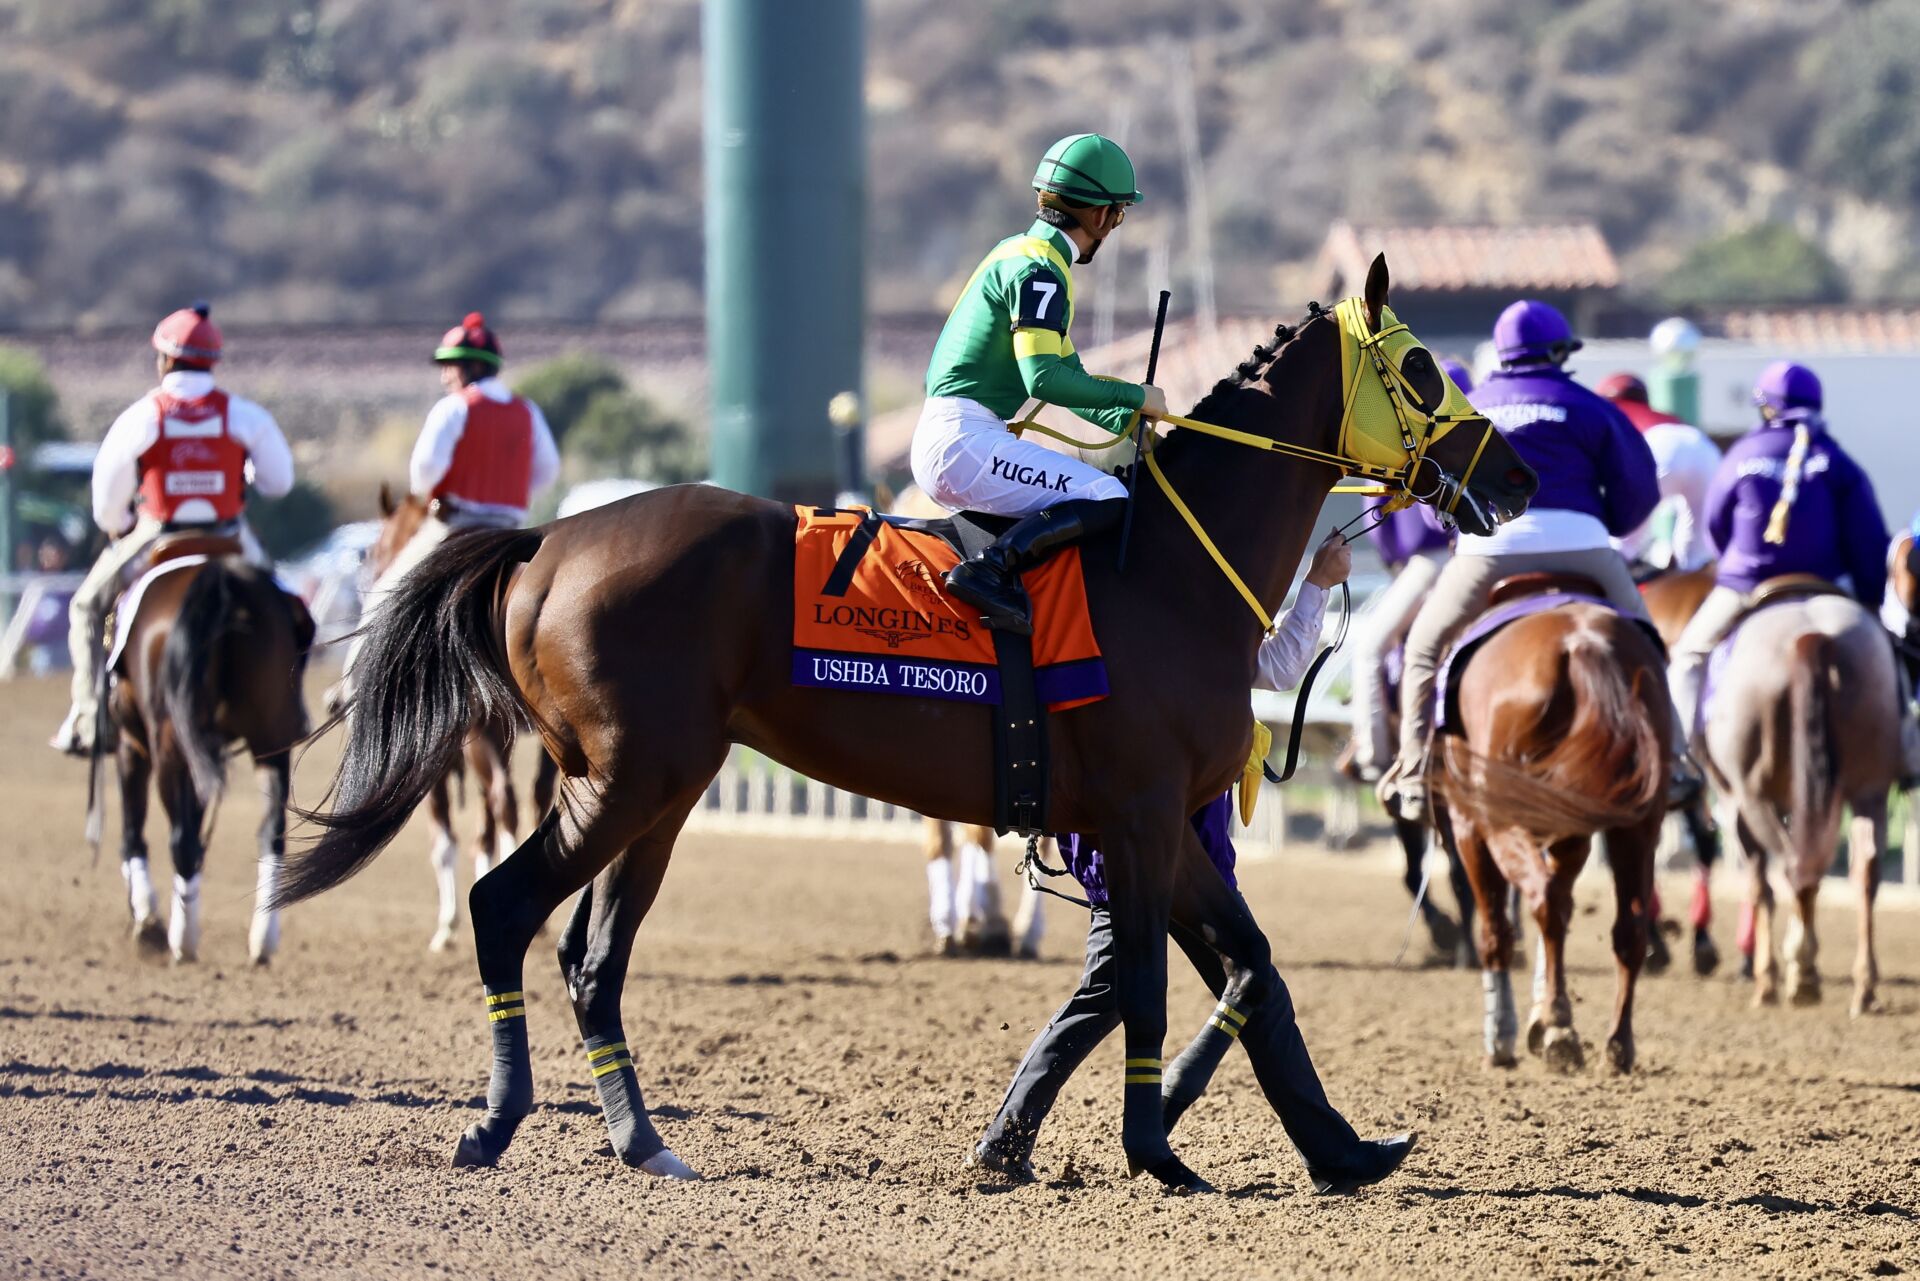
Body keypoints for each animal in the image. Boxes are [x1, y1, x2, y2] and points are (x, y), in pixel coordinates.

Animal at [284, 261, 1536, 1190]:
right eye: (1423, 365)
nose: (1518, 475)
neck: (1173, 572)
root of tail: (549, 538)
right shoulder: (1137, 816)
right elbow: (1146, 980)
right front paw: (1156, 1153)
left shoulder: (1164, 821)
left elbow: (1251, 964)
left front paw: (1341, 1148)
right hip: (627, 781)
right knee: (506, 908)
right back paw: (497, 1122)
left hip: (655, 790)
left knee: (593, 960)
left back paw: (644, 1143)